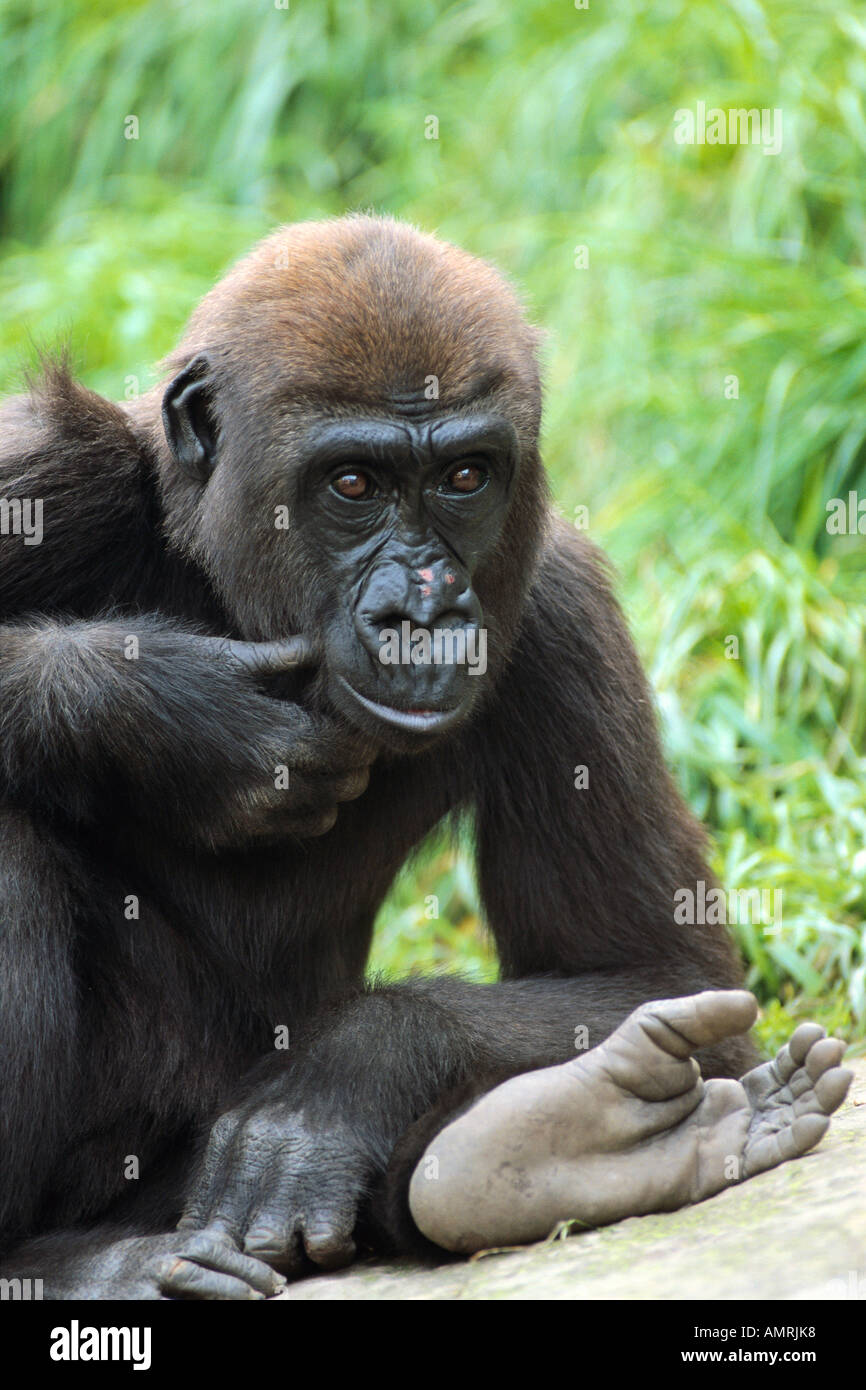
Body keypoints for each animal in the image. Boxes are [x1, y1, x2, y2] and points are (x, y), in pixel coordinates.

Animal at [0, 214, 856, 1289]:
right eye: (353, 484)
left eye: (465, 477)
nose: (425, 608)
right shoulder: (39, 475)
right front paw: (172, 711)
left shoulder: (560, 612)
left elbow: (660, 969)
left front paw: (349, 1073)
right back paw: (75, 1264)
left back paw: (569, 1142)